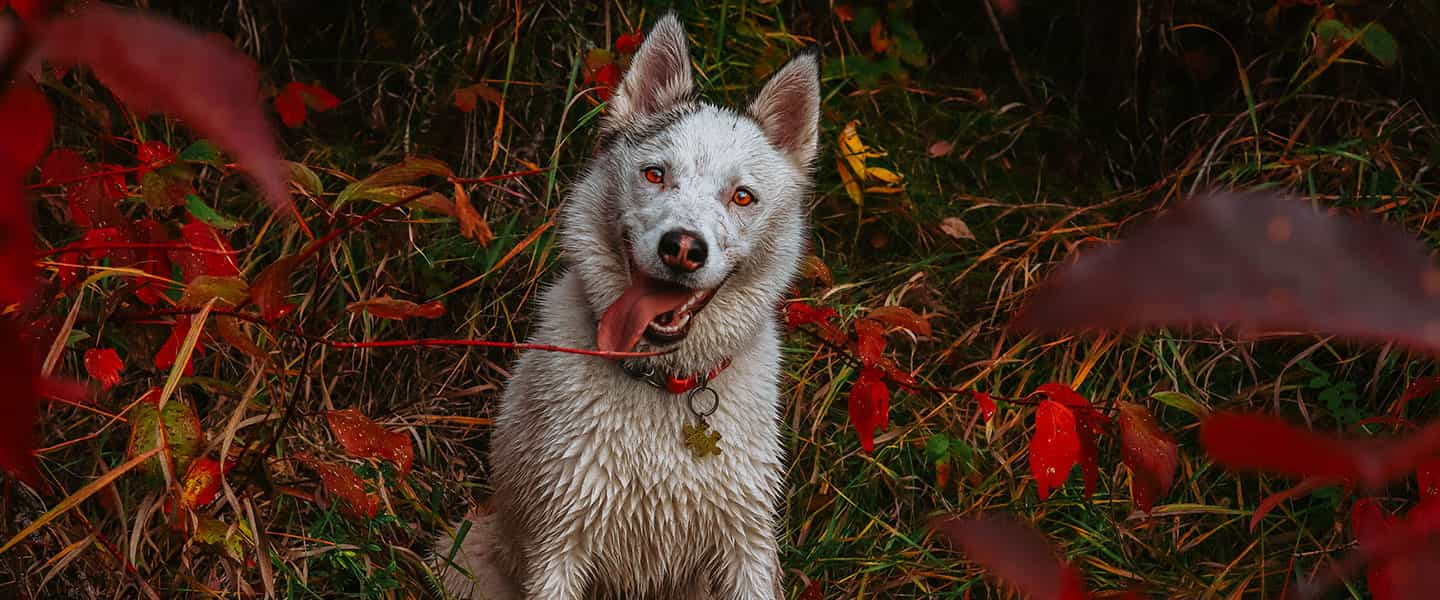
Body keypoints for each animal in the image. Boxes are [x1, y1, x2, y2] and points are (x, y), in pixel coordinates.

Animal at [432, 14, 823, 598]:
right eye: (656, 174)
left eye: (742, 197)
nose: (682, 248)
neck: (662, 383)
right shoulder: (558, 546)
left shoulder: (748, 548)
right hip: (462, 554)